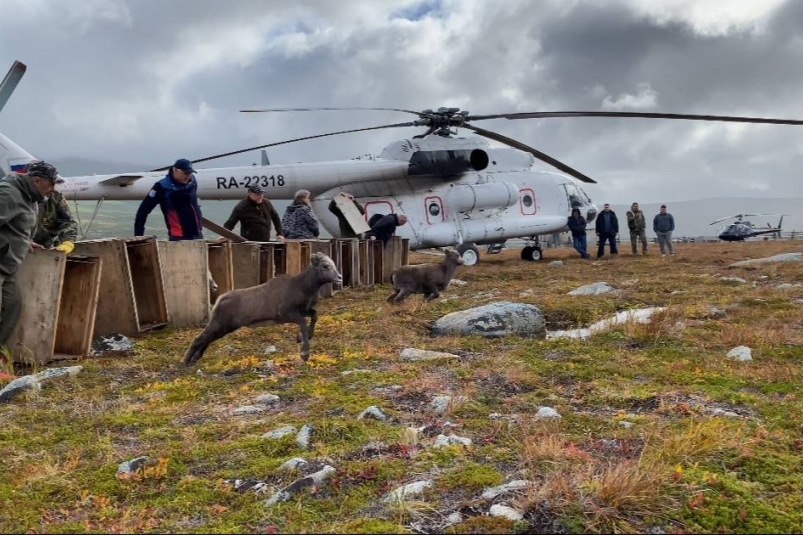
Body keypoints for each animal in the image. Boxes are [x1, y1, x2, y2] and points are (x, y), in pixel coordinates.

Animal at [185, 253, 342, 366]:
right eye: (325, 266)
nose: (339, 277)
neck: (303, 287)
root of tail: (220, 300)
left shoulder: (304, 310)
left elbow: (315, 316)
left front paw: (302, 339)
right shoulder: (287, 313)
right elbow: (303, 324)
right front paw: (304, 354)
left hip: (226, 327)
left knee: (208, 339)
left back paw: (194, 359)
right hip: (219, 324)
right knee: (200, 338)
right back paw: (186, 362)